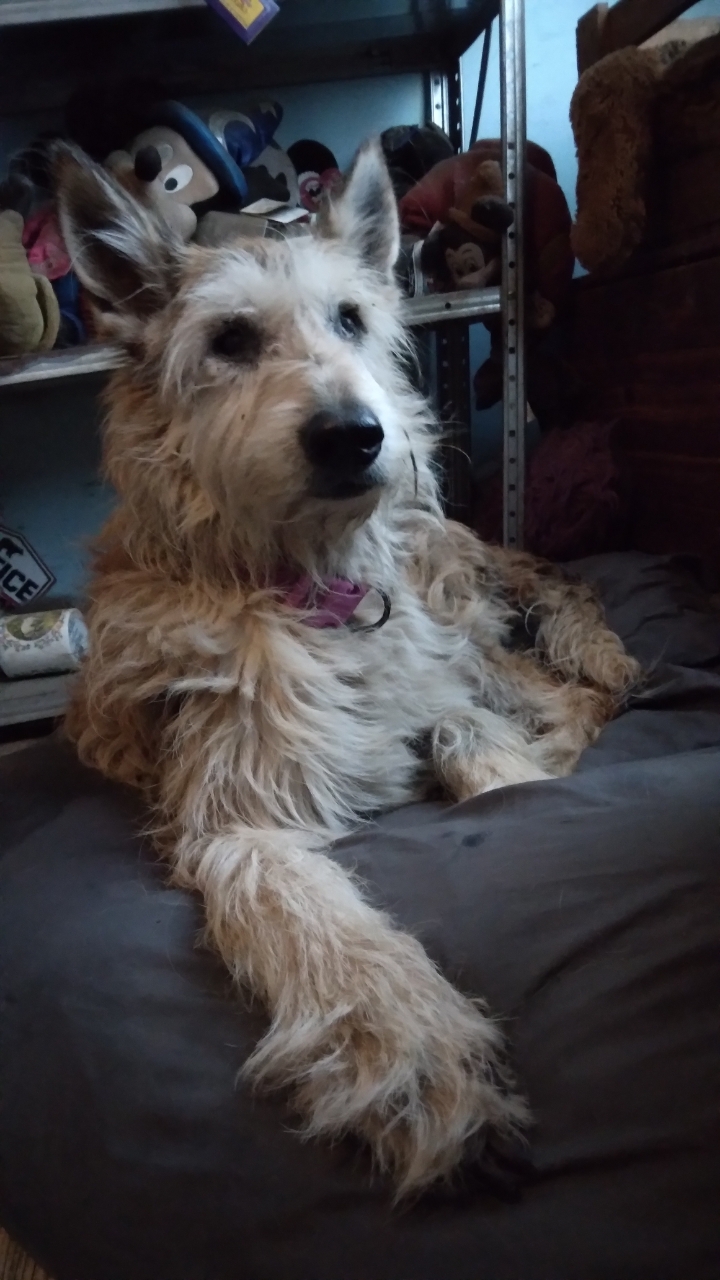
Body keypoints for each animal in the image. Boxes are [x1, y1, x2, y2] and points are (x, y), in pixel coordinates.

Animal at [55, 138, 639, 1198]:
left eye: (353, 320)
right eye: (231, 340)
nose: (353, 434)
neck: (311, 589)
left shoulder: (441, 675)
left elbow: (464, 728)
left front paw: (507, 778)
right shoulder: (237, 816)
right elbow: (313, 919)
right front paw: (418, 1055)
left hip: (470, 621)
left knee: (580, 685)